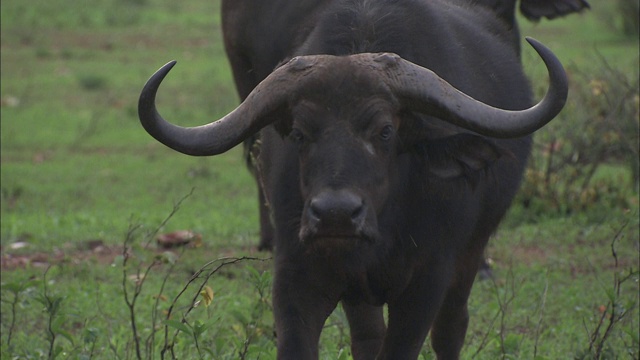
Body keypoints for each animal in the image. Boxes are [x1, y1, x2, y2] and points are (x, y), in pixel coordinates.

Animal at [138, 0, 568, 360]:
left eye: (385, 131)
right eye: (299, 133)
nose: (336, 215)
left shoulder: (427, 280)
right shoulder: (297, 277)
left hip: (471, 251)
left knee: (451, 327)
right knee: (368, 336)